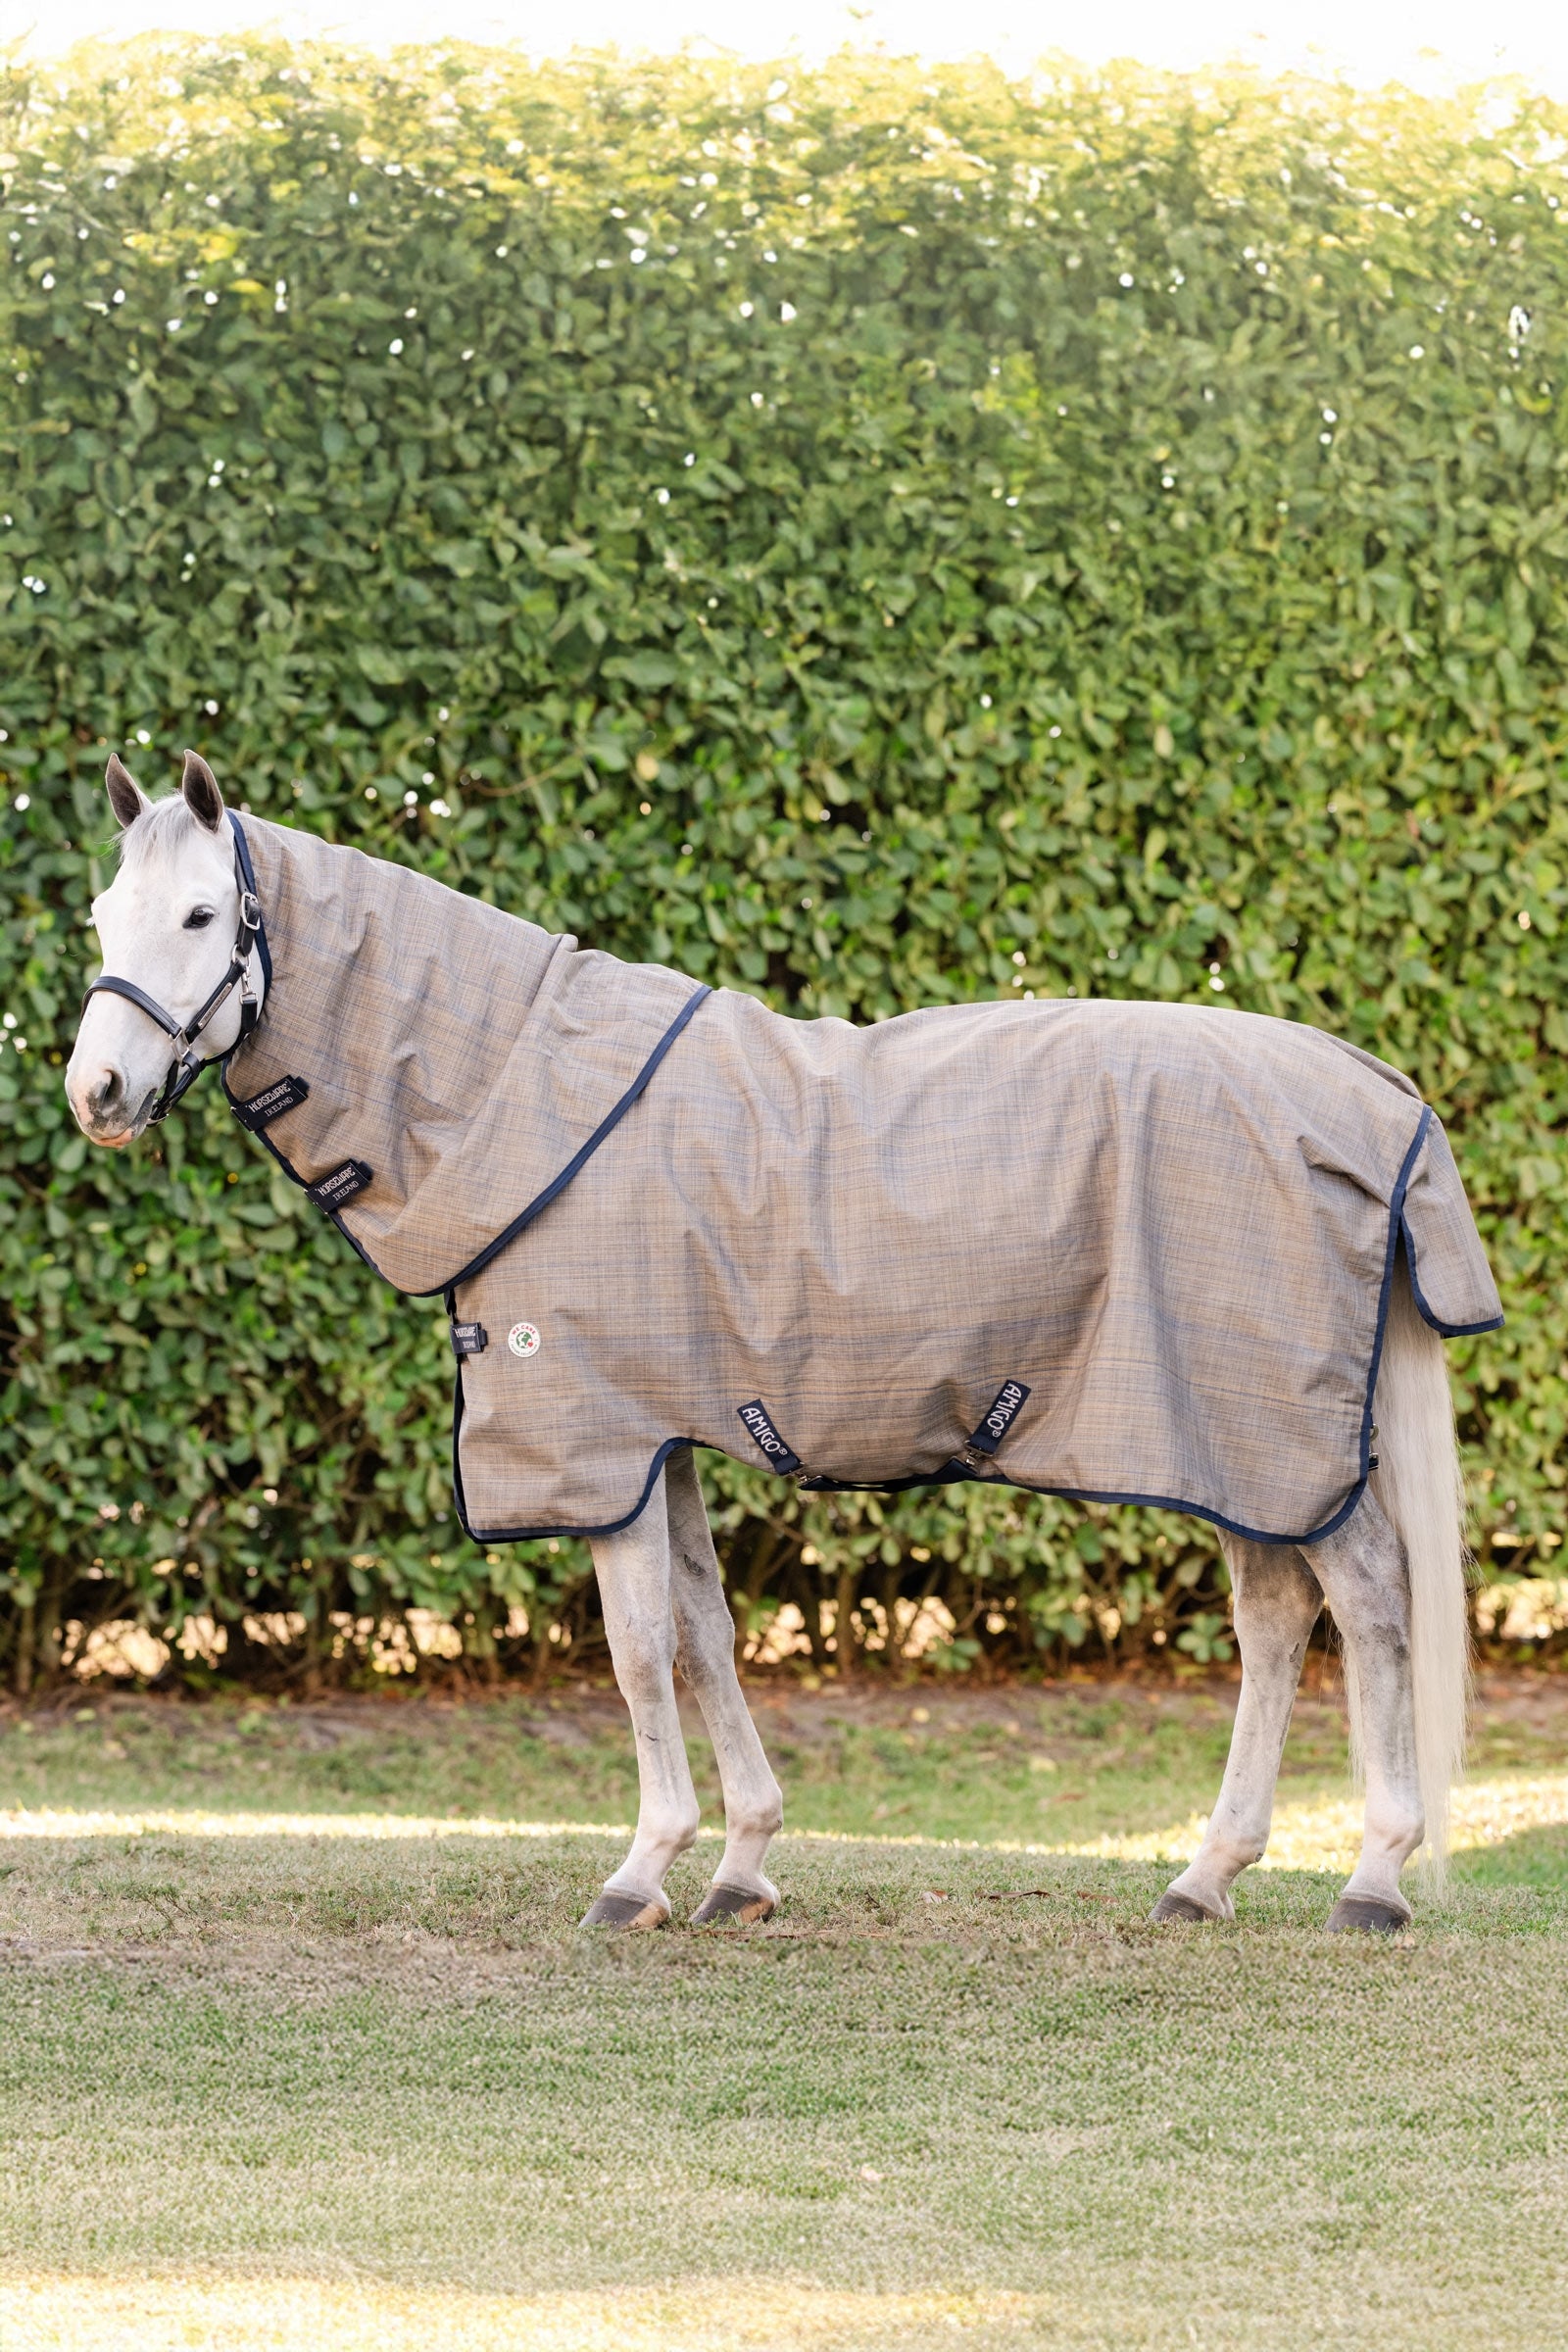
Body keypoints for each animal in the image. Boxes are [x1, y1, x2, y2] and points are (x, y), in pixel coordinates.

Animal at [65, 750, 1500, 1935]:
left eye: (201, 918)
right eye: (100, 917)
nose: (97, 1093)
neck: (515, 1099)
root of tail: (1378, 1096)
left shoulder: (599, 1443)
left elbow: (639, 1650)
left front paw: (640, 1870)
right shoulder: (666, 1438)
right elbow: (704, 1630)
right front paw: (741, 1864)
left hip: (1264, 1437)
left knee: (1366, 1606)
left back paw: (1373, 1879)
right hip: (1231, 1444)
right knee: (1276, 1618)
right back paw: (1206, 1877)